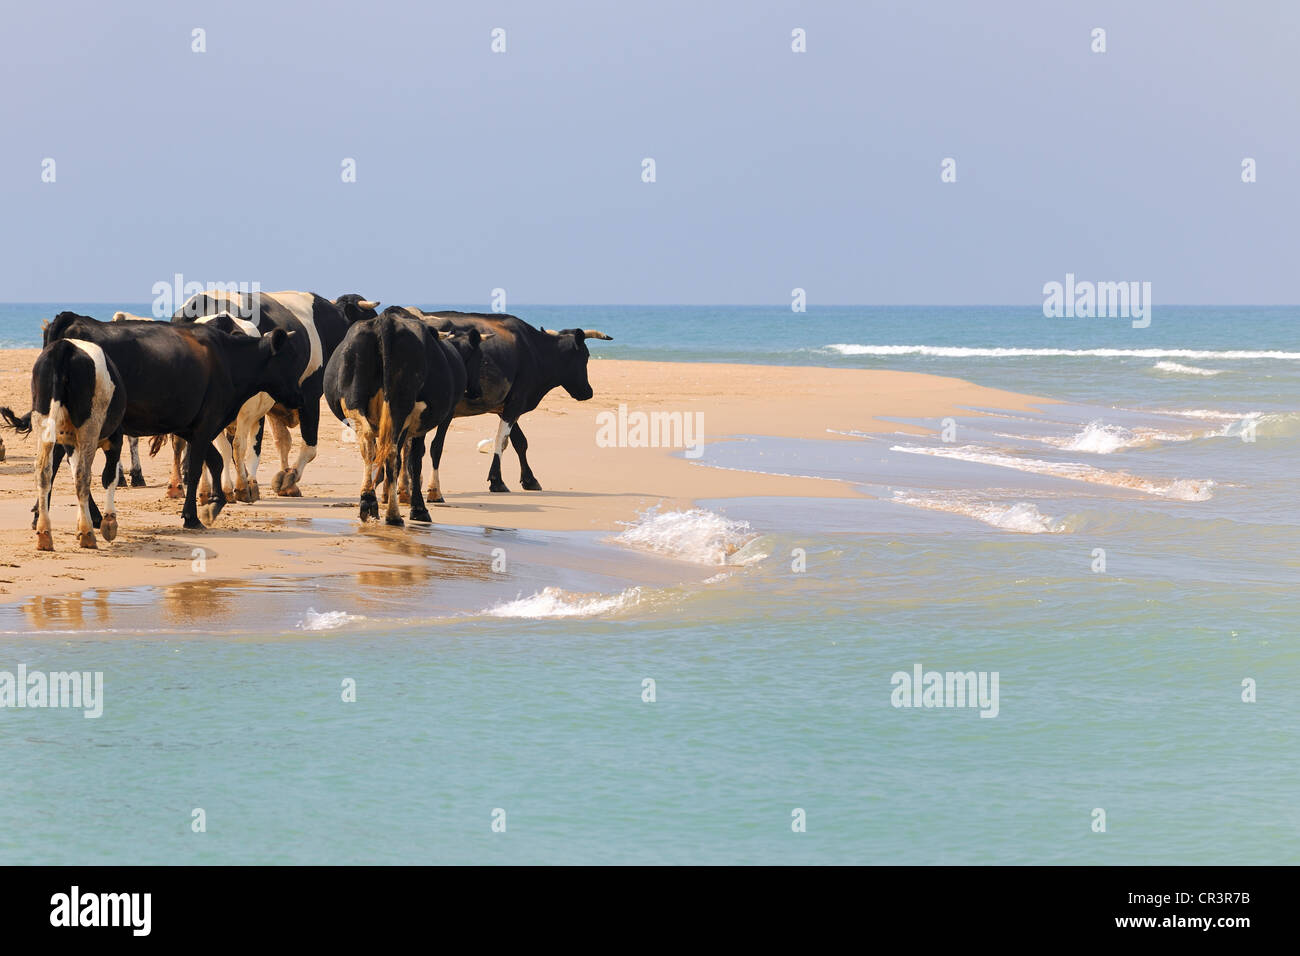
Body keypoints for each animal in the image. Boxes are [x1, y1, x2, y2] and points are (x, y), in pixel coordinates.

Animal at [0, 338, 125, 548]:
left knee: (43, 472)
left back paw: (44, 535)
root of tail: (64, 346)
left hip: (43, 419)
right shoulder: (116, 438)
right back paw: (87, 534)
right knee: (83, 475)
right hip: (89, 426)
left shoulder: (69, 442)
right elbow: (109, 476)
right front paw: (109, 522)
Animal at [325, 308, 488, 522]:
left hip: (354, 400)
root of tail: (385, 321)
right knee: (394, 453)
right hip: (400, 407)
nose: (477, 391)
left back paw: (368, 500)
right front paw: (420, 505)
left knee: (370, 443)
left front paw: (390, 493)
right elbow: (420, 457)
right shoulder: (438, 418)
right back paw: (394, 515)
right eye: (480, 358)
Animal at [421, 312, 613, 494]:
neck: (535, 351)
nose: (588, 392)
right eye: (586, 355)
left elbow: (520, 442)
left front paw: (529, 479)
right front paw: (497, 481)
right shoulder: (516, 402)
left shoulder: (505, 406)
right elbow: (502, 439)